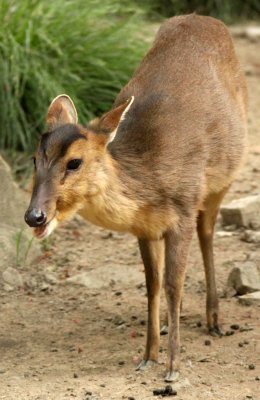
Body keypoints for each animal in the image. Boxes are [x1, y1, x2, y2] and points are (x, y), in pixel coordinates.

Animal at [24, 13, 248, 382]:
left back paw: (214, 320)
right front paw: (148, 356)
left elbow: (173, 284)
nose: (35, 216)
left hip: (222, 180)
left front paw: (173, 369)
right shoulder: (144, 226)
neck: (150, 176)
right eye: (33, 159)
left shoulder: (183, 208)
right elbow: (153, 284)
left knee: (207, 233)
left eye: (75, 162)